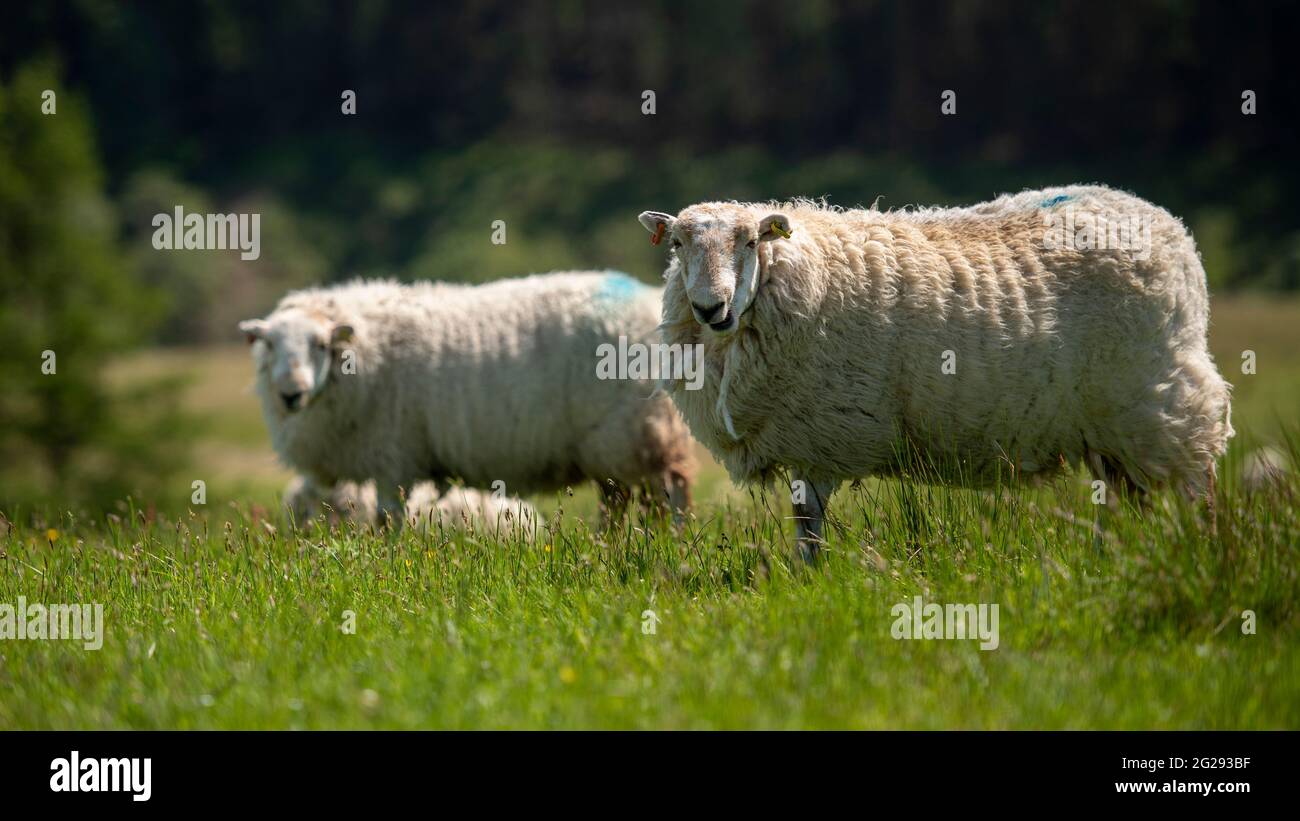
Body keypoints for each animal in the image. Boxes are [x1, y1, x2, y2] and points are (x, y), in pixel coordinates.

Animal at [240, 271, 695, 526]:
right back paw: (611, 548)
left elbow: (389, 520)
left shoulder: (395, 456)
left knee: (670, 493)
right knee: (620, 502)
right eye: (269, 344)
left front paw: (389, 561)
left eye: (320, 344)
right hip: (612, 442)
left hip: (637, 429)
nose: (291, 394)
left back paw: (668, 544)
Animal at [639, 184, 1233, 559]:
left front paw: (810, 581)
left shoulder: (818, 435)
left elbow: (809, 527)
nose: (710, 308)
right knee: (1130, 500)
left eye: (750, 242)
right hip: (1115, 431)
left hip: (1161, 399)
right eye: (677, 245)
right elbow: (807, 526)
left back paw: (1202, 553)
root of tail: (1171, 228)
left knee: (1197, 486)